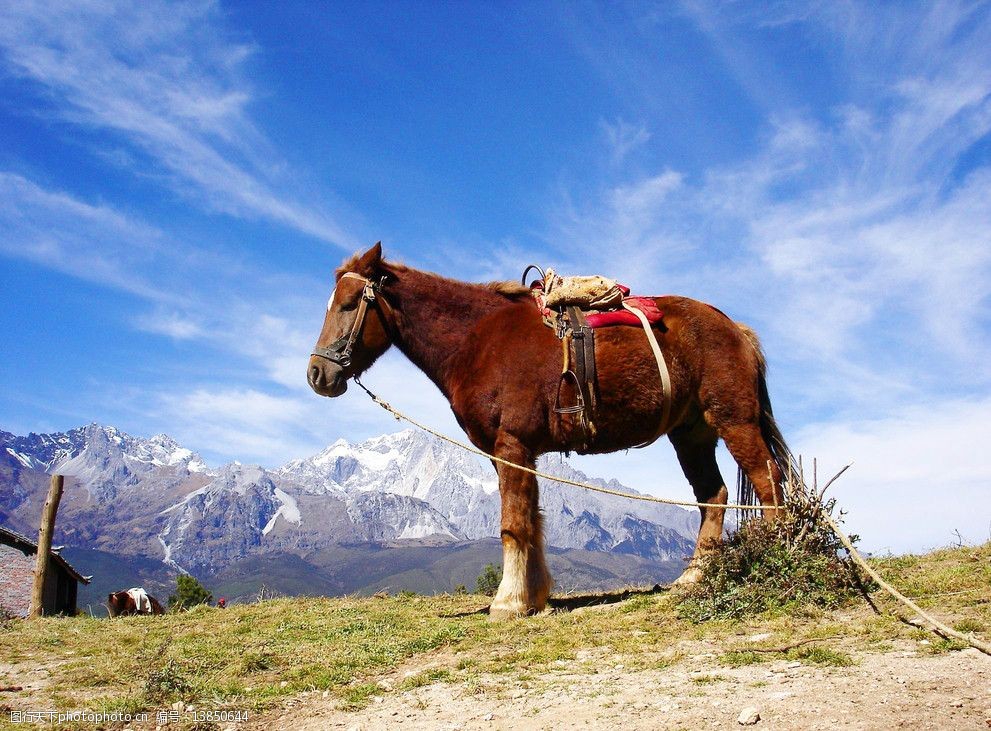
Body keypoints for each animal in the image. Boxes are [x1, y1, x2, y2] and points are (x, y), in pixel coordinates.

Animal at [310, 244, 792, 616]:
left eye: (350, 304)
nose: (317, 374)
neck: (477, 342)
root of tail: (735, 329)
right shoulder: (515, 453)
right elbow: (533, 522)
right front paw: (534, 595)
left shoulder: (511, 446)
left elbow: (513, 524)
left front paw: (507, 601)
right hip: (691, 434)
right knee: (713, 495)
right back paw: (693, 577)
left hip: (734, 420)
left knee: (767, 482)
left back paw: (775, 557)